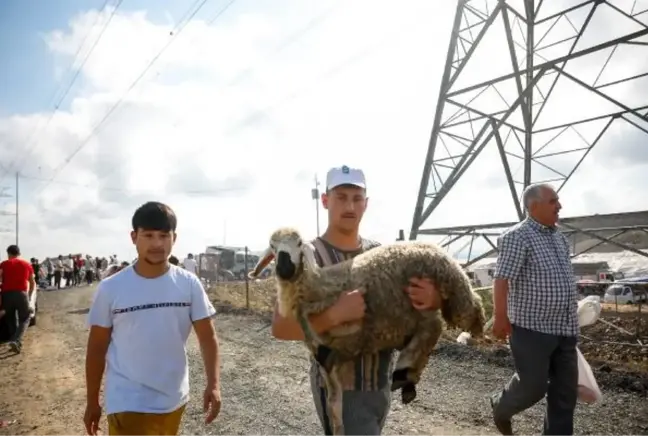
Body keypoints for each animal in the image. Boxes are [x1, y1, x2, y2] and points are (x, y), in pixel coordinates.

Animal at [248, 227, 486, 434]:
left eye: (298, 244)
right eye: (272, 247)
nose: (284, 270)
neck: (316, 283)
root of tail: (431, 245)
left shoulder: (342, 319)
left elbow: (306, 316)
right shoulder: (331, 370)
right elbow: (334, 408)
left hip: (453, 289)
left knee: (467, 310)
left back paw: (477, 330)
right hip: (417, 309)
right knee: (431, 327)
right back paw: (405, 376)